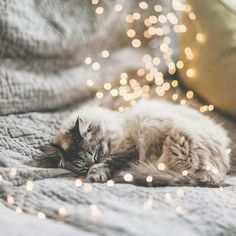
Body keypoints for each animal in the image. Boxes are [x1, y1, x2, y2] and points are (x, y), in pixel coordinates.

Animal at [41, 99, 230, 186]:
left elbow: (110, 161)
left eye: (96, 154)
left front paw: (96, 174)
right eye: (82, 167)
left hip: (151, 129)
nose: (94, 163)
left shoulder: (130, 148)